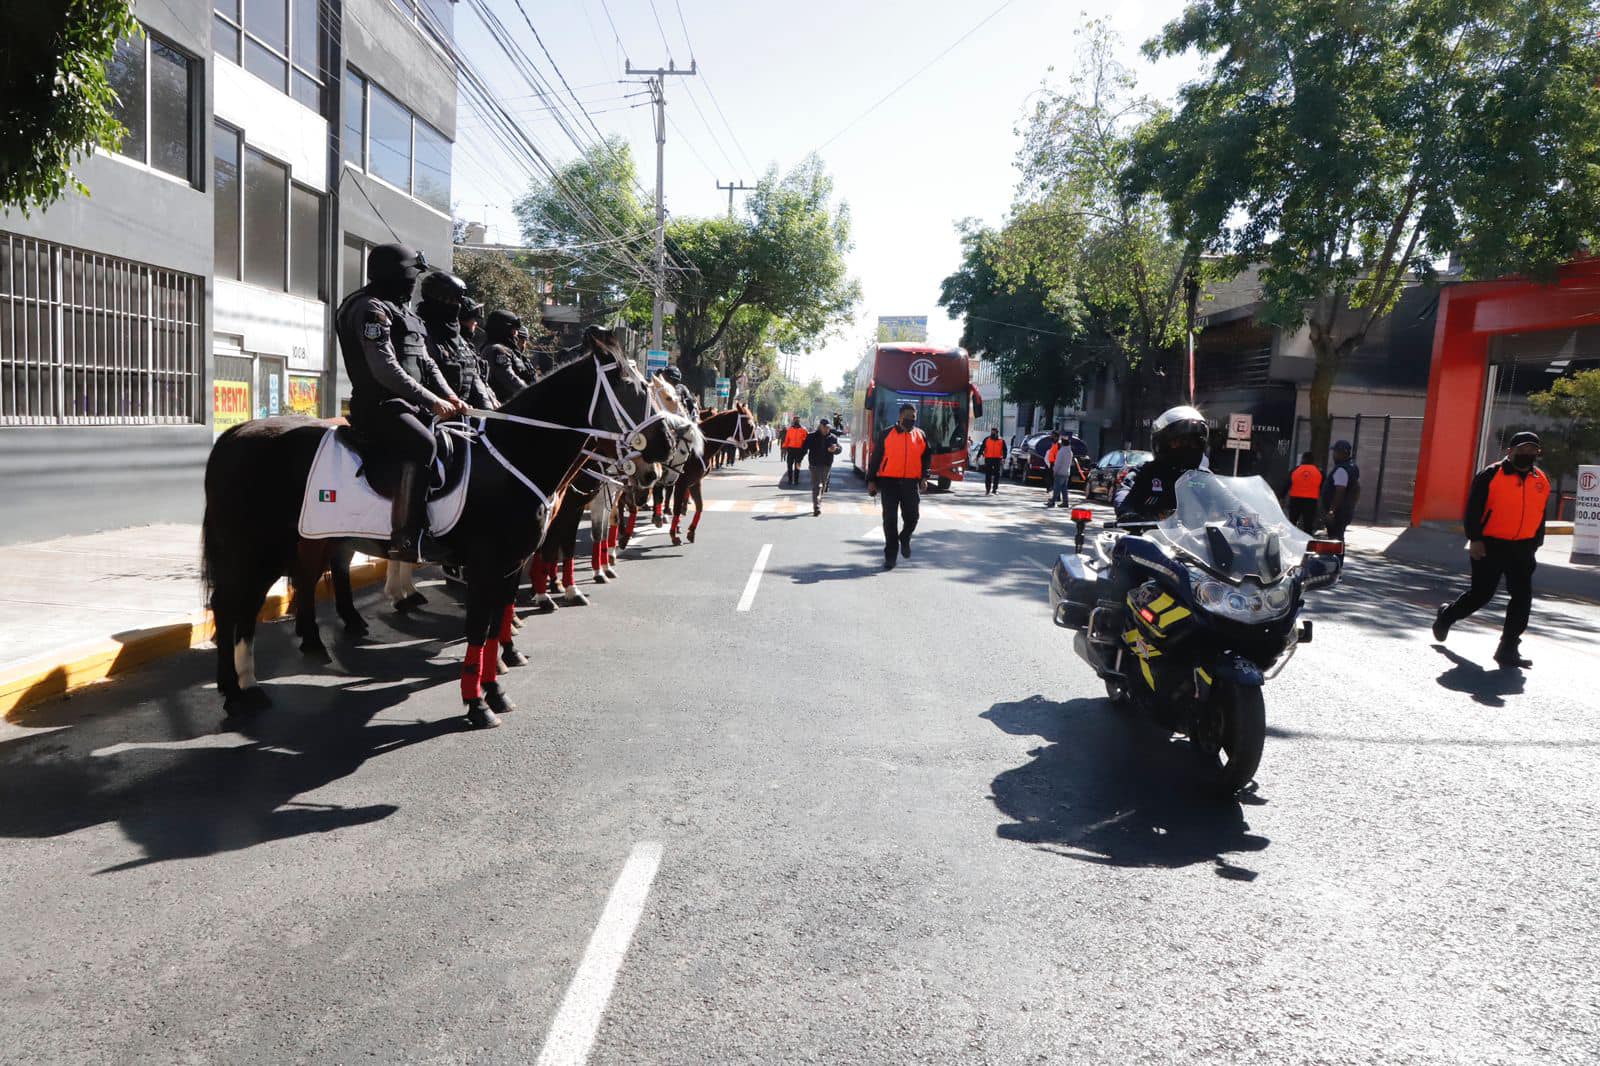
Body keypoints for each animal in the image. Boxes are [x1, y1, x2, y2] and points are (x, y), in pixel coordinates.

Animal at [204, 326, 694, 723]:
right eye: (631, 386)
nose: (663, 451)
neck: (513, 456)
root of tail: (236, 433)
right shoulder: (489, 562)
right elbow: (479, 626)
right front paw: (477, 702)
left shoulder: (510, 563)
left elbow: (496, 622)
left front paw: (496, 684)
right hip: (254, 548)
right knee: (235, 607)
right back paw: (236, 692)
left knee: (266, 598)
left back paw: (254, 682)